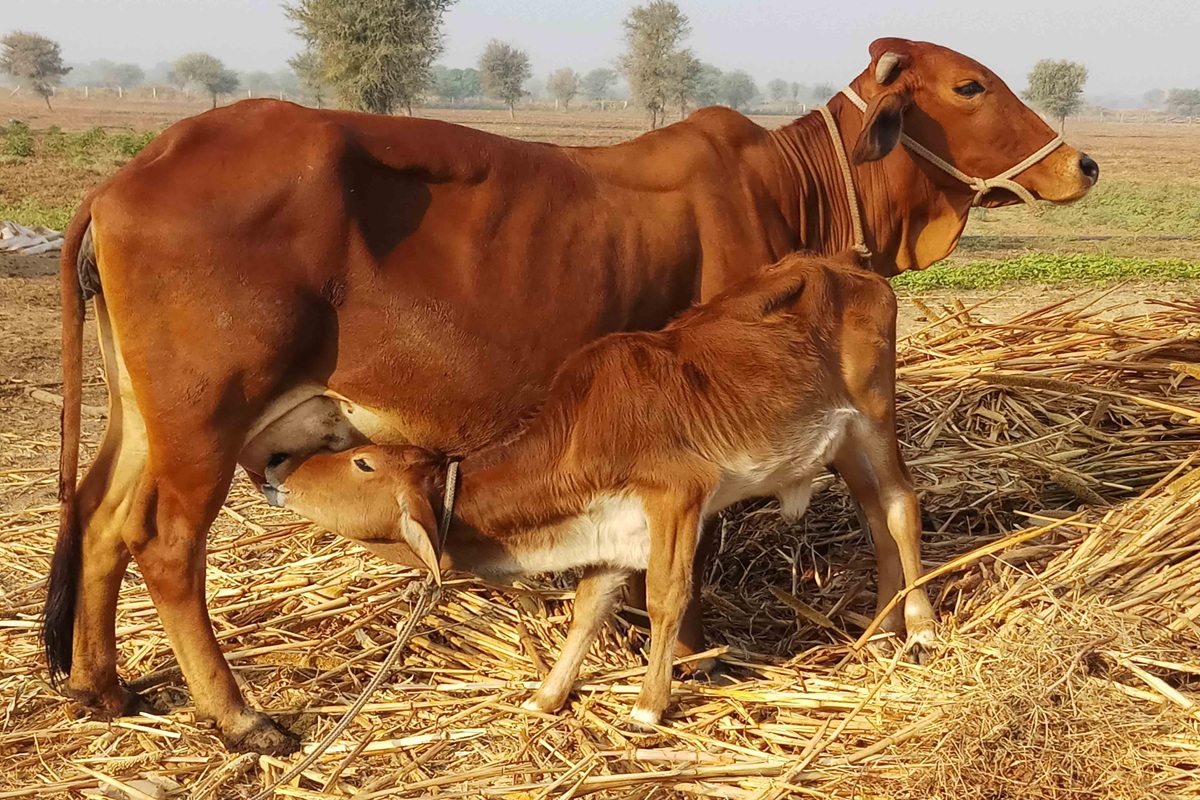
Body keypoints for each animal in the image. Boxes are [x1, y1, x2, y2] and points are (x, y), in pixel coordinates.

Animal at [263, 252, 930, 729]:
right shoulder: (614, 528)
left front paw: (650, 704)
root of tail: (843, 265)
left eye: (363, 463)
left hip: (872, 416)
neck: (576, 441)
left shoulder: (678, 496)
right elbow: (588, 609)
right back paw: (881, 628)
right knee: (875, 516)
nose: (280, 471)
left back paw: (919, 625)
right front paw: (547, 695)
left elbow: (666, 597)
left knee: (901, 506)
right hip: (841, 443)